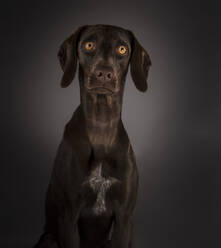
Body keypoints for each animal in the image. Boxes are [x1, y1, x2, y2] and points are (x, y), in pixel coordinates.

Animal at [33, 23, 151, 248]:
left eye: (122, 49)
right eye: (89, 45)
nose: (104, 74)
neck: (101, 128)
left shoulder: (124, 219)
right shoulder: (68, 216)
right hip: (49, 239)